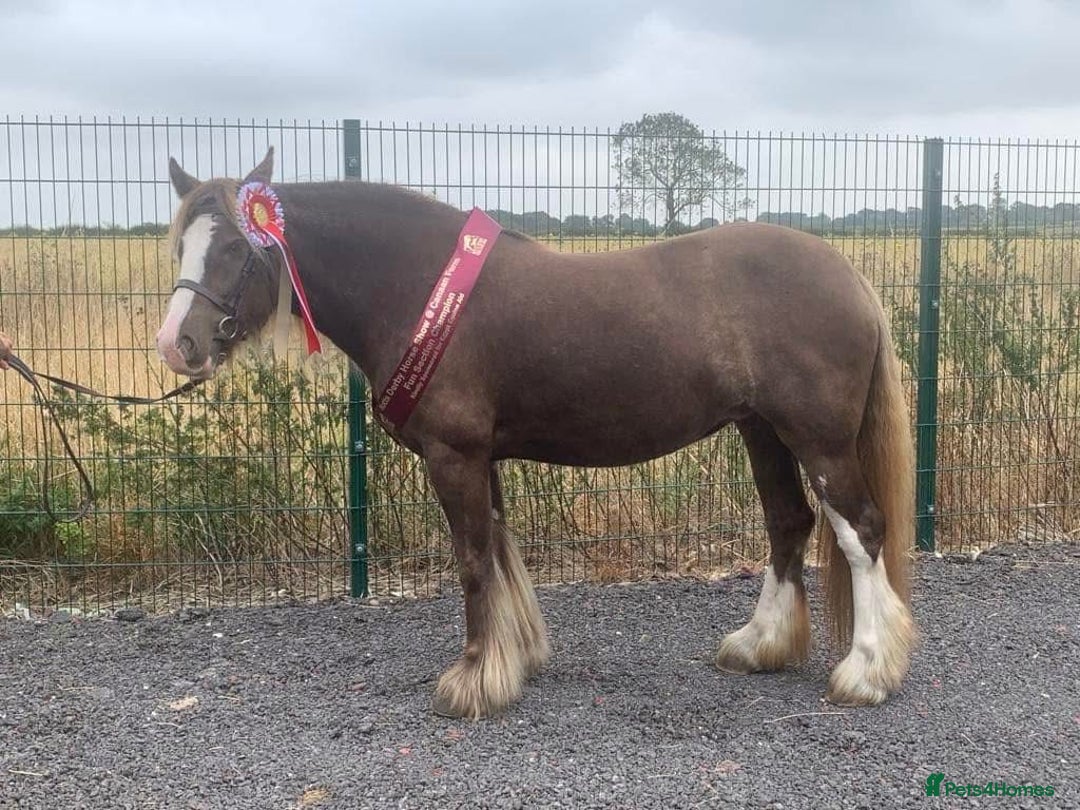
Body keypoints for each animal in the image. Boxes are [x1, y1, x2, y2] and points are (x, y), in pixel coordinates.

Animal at [156, 148, 915, 719]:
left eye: (237, 247)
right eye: (181, 247)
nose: (177, 345)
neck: (420, 287)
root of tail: (847, 274)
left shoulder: (453, 455)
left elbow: (471, 561)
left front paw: (471, 680)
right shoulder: (482, 457)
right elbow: (498, 550)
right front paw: (511, 661)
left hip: (818, 440)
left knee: (860, 530)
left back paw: (866, 672)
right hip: (762, 432)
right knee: (788, 523)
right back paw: (759, 646)